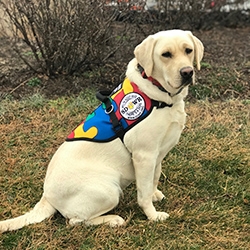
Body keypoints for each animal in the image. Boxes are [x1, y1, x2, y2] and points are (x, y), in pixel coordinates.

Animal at [0, 29, 203, 232]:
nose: (187, 72)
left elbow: (154, 178)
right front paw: (153, 216)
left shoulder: (157, 154)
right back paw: (113, 220)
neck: (160, 96)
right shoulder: (144, 155)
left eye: (188, 50)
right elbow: (143, 194)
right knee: (75, 221)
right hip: (109, 189)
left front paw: (155, 195)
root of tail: (46, 197)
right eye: (166, 54)